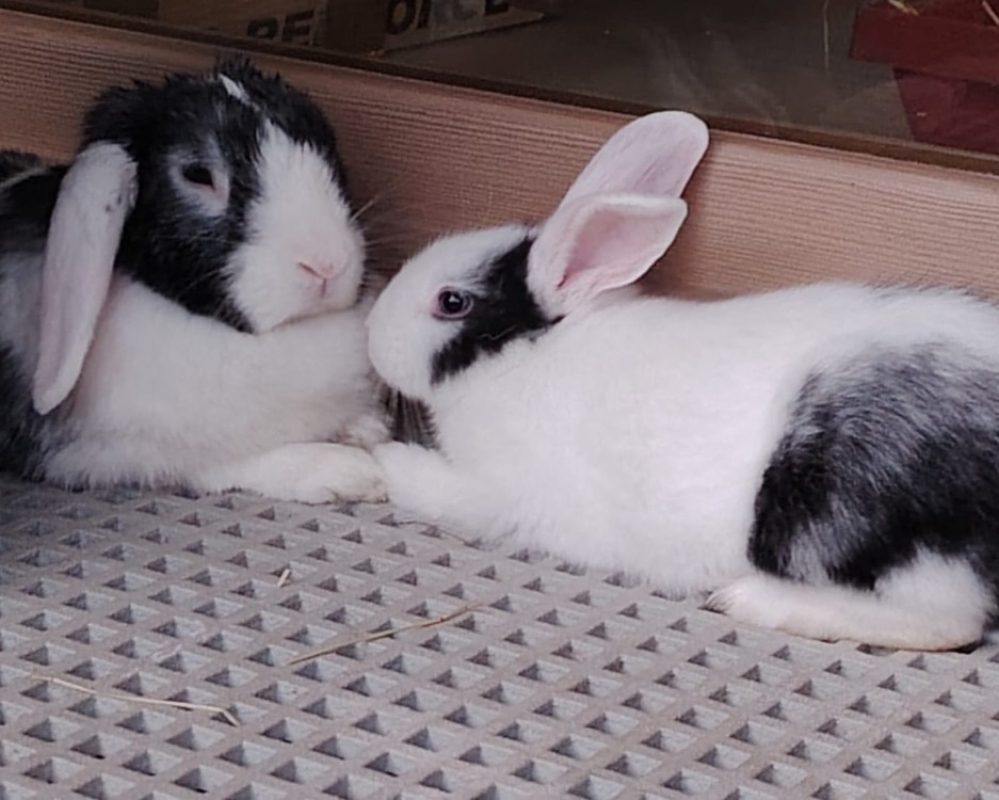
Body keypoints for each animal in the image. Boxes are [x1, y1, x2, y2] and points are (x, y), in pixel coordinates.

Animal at [0, 57, 389, 504]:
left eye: (327, 144)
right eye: (198, 174)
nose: (328, 263)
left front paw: (368, 429)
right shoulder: (126, 455)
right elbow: (238, 462)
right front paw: (351, 472)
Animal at [366, 110, 999, 650]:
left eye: (451, 302)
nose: (372, 329)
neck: (529, 355)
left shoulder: (492, 493)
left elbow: (423, 481)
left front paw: (376, 456)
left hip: (851, 516)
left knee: (948, 623)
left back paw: (756, 601)